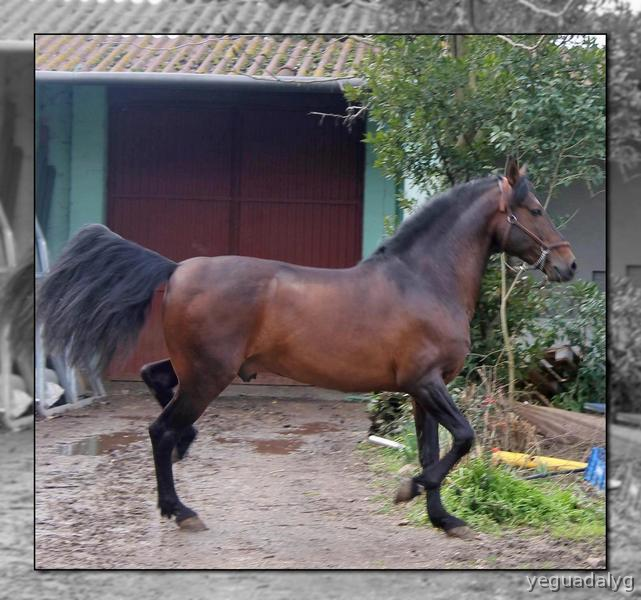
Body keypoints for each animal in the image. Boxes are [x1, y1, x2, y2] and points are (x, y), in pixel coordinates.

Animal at [37, 158, 576, 539]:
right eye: (535, 210)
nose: (568, 265)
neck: (424, 280)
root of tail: (177, 268)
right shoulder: (426, 383)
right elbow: (462, 438)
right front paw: (408, 492)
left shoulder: (422, 391)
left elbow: (432, 452)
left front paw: (444, 519)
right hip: (210, 376)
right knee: (159, 430)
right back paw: (181, 510)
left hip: (199, 369)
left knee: (156, 379)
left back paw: (185, 455)